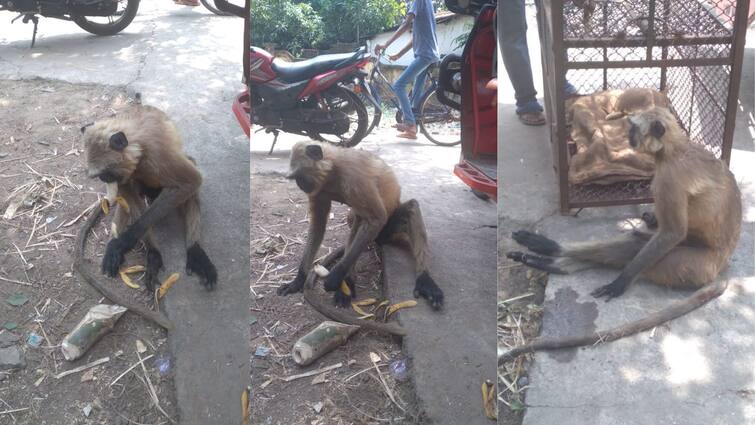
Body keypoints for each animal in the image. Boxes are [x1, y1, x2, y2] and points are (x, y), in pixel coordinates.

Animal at [83, 93, 219, 292]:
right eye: (101, 176)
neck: (137, 141)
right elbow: (126, 189)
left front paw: (125, 241)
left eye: (106, 174)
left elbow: (191, 181)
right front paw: (146, 251)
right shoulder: (125, 170)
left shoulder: (157, 151)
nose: (103, 180)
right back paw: (151, 253)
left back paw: (193, 248)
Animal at [276, 142, 442, 308]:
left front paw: (336, 277)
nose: (300, 185)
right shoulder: (320, 189)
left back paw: (424, 278)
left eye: (299, 177)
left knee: (406, 208)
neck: (333, 169)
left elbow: (376, 219)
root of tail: (380, 239)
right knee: (357, 217)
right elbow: (318, 226)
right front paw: (299, 279)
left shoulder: (352, 175)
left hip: (390, 230)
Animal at [502, 107, 744, 362]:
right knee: (631, 242)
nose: (629, 135)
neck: (675, 148)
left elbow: (672, 232)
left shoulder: (670, 177)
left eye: (634, 127)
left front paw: (622, 281)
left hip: (694, 266)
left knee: (639, 248)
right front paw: (650, 219)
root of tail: (722, 263)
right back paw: (551, 261)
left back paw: (552, 253)